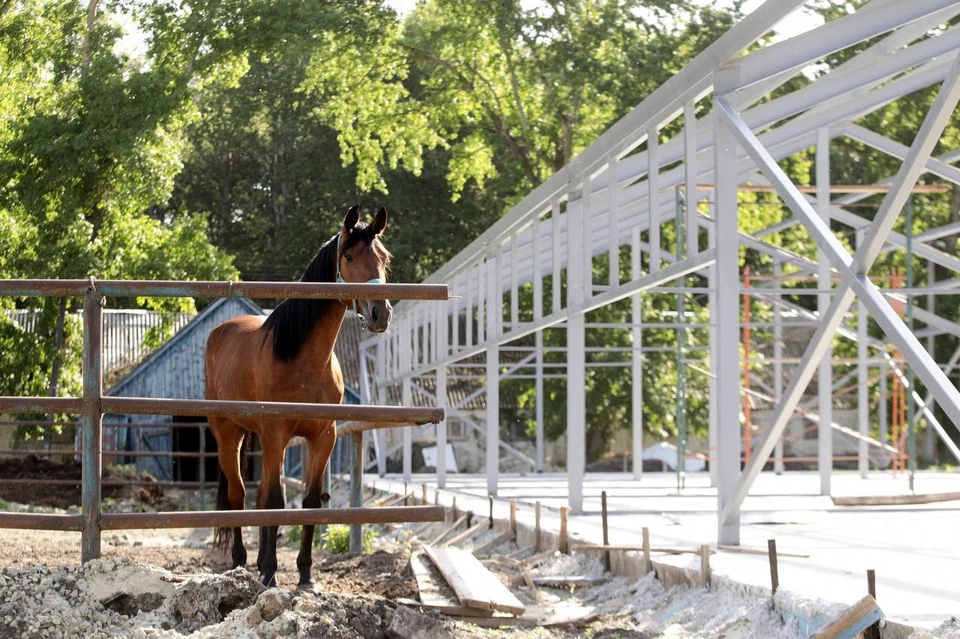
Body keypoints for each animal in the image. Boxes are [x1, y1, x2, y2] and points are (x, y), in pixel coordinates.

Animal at [204, 206, 392, 592]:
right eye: (349, 257)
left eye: (384, 259)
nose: (380, 314)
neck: (306, 359)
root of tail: (220, 332)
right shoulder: (276, 433)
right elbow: (276, 501)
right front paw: (271, 573)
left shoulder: (323, 437)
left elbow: (309, 502)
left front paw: (305, 574)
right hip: (229, 434)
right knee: (239, 495)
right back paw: (241, 562)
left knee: (259, 495)